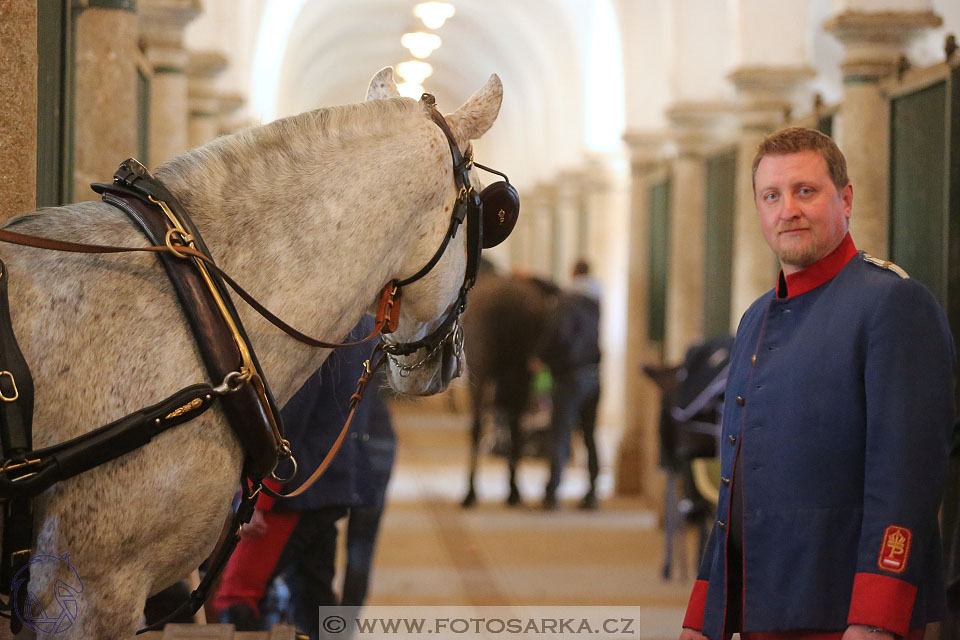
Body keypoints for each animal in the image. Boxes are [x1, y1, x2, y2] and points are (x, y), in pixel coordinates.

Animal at [460, 268, 560, 508]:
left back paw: (472, 491)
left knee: (479, 425)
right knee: (514, 423)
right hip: (516, 374)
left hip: (486, 372)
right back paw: (511, 490)